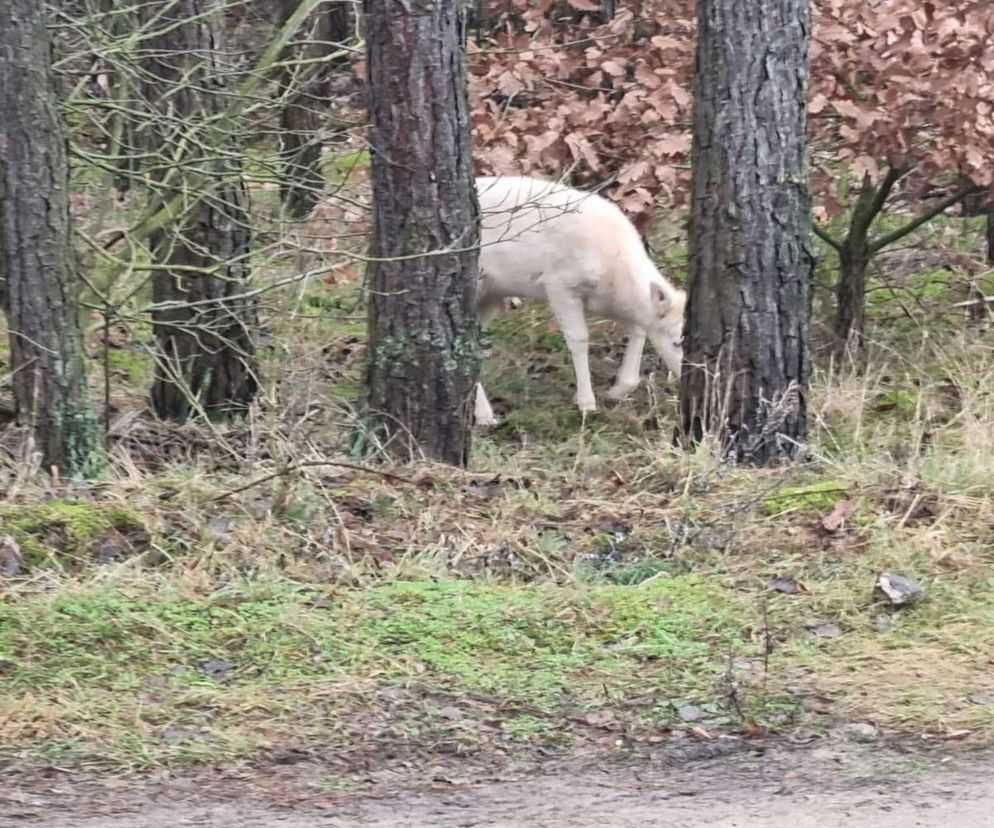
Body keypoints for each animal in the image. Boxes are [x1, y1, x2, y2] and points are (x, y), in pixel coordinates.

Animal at [472, 172, 680, 424]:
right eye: (677, 341)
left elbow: (638, 329)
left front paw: (618, 390)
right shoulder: (559, 284)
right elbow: (579, 339)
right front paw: (586, 403)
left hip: (491, 295)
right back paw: (484, 415)